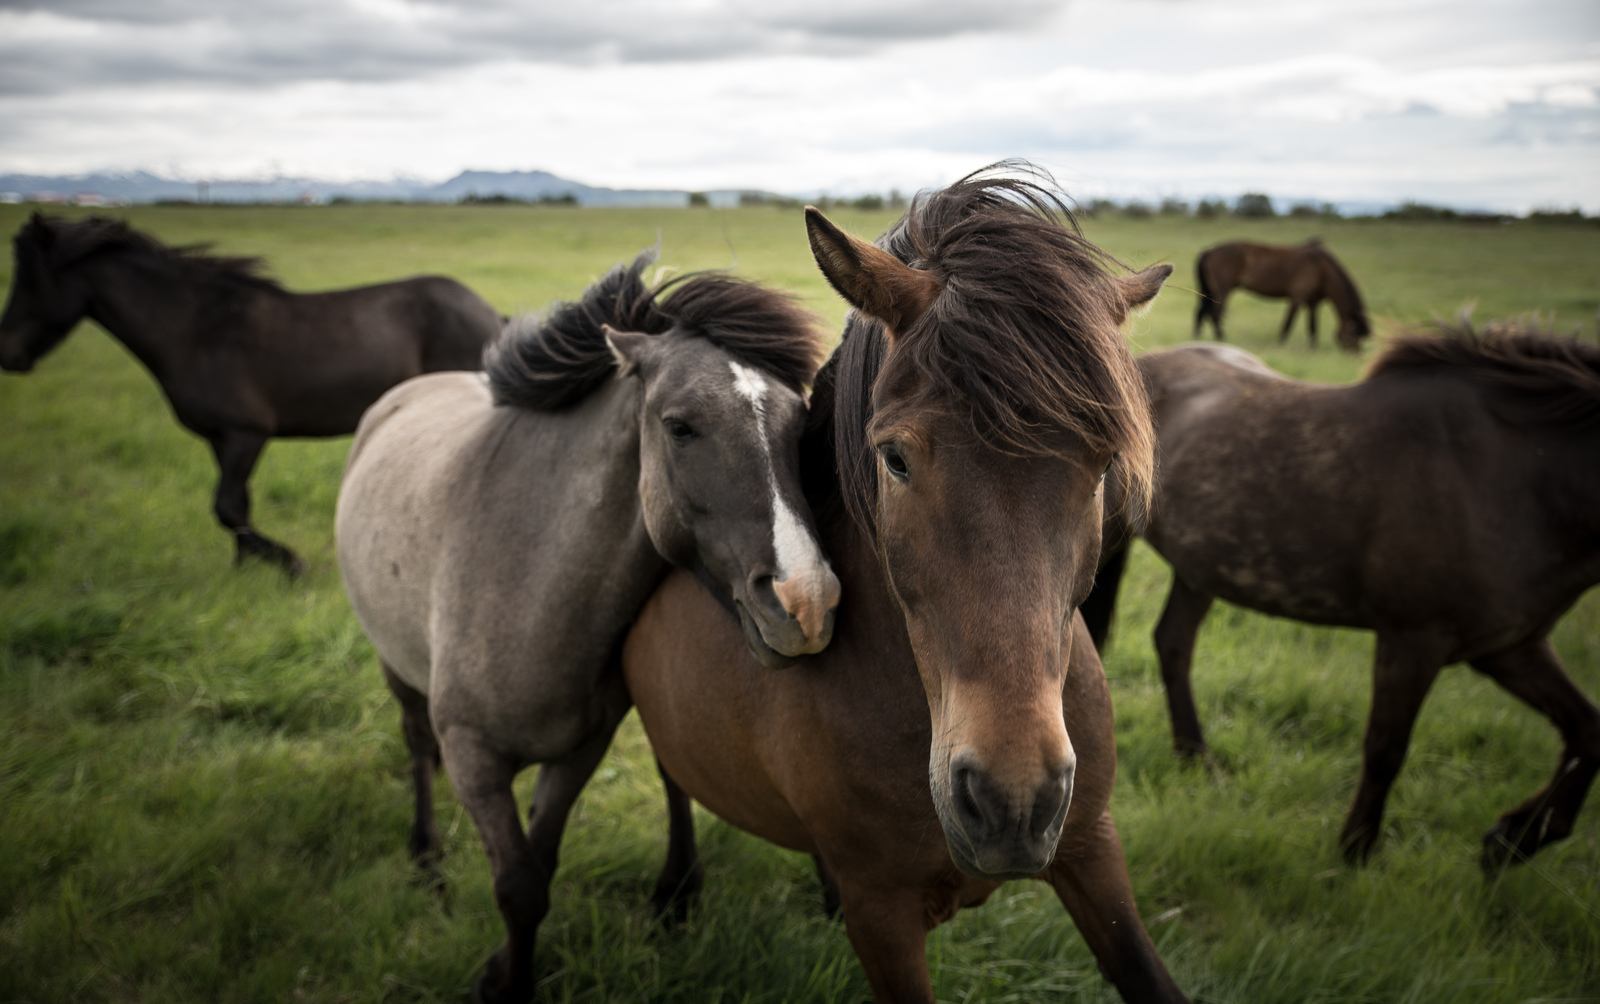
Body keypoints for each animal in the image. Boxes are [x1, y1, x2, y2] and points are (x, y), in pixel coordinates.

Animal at [0, 213, 502, 575]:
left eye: (30, 278)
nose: (9, 353)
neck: (196, 330)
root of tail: (491, 316)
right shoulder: (220, 440)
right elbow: (236, 505)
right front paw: (244, 570)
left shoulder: (245, 433)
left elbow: (226, 506)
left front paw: (289, 563)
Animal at [335, 250, 840, 1004]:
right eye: (680, 426)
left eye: (799, 425)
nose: (806, 602)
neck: (525, 580)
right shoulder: (475, 759)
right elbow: (517, 888)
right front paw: (506, 982)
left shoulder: (579, 750)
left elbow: (537, 872)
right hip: (397, 669)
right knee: (416, 742)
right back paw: (425, 858)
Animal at [623, 168, 1189, 1002]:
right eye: (894, 459)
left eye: (1101, 465)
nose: (1012, 798)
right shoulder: (881, 915)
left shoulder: (1091, 846)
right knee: (672, 786)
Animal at [1081, 327, 1600, 870]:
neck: (1512, 474)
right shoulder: (1413, 640)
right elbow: (1386, 748)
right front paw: (1357, 850)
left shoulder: (1508, 646)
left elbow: (1589, 731)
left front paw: (1515, 837)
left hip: (1201, 567)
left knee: (1173, 643)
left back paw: (1196, 757)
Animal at [1193, 239, 1371, 351]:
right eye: (1354, 335)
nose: (1356, 354)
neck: (1321, 269)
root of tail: (1208, 251)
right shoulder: (1297, 298)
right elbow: (1288, 323)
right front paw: (1280, 344)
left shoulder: (1313, 303)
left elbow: (1313, 326)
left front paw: (1313, 347)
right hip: (1223, 290)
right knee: (1214, 314)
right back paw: (1221, 338)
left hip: (1209, 291)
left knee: (1201, 312)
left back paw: (1198, 338)